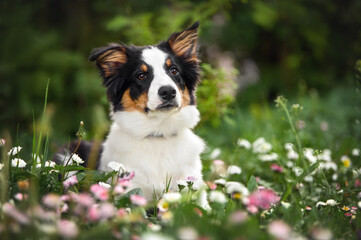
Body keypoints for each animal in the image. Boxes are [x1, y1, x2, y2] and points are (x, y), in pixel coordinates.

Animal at [62, 22, 205, 200]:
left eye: (174, 71)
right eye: (141, 75)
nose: (168, 92)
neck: (158, 133)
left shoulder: (191, 186)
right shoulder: (130, 191)